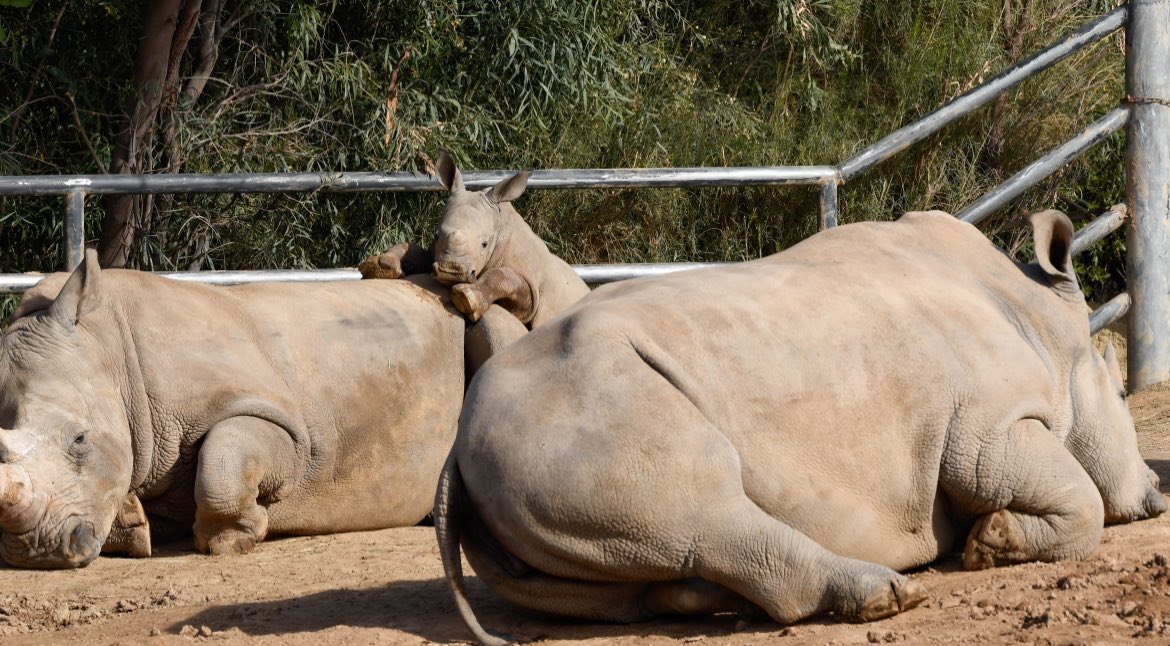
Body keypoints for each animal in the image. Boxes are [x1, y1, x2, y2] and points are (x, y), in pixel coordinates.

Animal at [0, 249, 470, 568]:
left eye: (80, 440)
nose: (35, 549)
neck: (107, 350)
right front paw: (132, 523)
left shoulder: (279, 422)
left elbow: (222, 461)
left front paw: (234, 539)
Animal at [355, 150, 589, 330]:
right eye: (436, 235)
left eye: (484, 244)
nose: (451, 271)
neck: (499, 224)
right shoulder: (435, 252)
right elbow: (412, 249)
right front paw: (379, 266)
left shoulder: (531, 295)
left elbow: (504, 276)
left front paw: (466, 300)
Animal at [437, 208, 1160, 641]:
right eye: (1121, 393)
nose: (1157, 494)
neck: (1040, 318)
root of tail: (458, 443)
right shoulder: (989, 429)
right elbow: (1083, 503)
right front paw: (993, 541)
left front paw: (988, 539)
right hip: (575, 404)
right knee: (700, 507)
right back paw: (888, 595)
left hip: (526, 435)